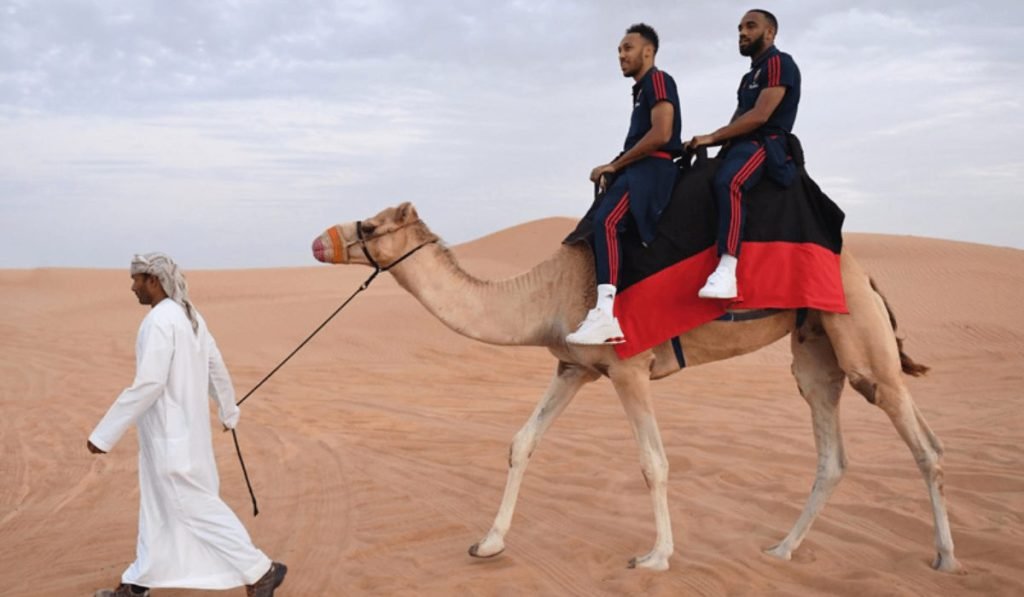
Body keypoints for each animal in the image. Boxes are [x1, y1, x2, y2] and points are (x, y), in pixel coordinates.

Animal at [309, 201, 958, 573]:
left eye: (369, 225)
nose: (319, 241)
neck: (546, 294)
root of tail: (865, 274)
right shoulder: (573, 368)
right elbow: (522, 443)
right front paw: (488, 544)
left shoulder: (628, 369)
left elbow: (653, 462)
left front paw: (656, 556)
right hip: (816, 349)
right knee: (833, 450)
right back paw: (781, 550)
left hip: (862, 340)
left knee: (924, 444)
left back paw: (946, 558)